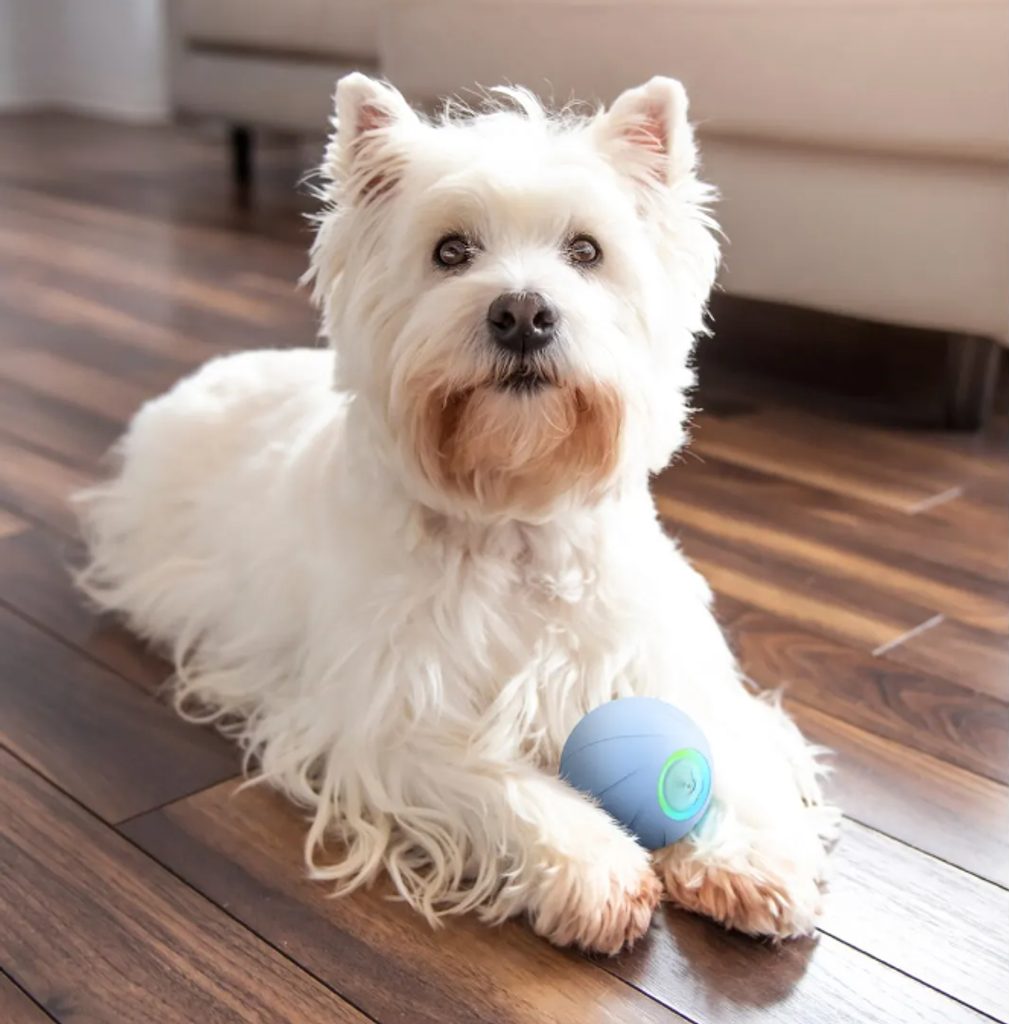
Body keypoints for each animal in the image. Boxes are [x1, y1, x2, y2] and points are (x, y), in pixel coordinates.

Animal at [76, 72, 835, 950]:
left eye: (586, 251)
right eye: (450, 251)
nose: (522, 314)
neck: (512, 515)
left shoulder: (664, 661)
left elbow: (729, 743)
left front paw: (749, 859)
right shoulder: (388, 720)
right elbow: (501, 781)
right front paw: (595, 869)